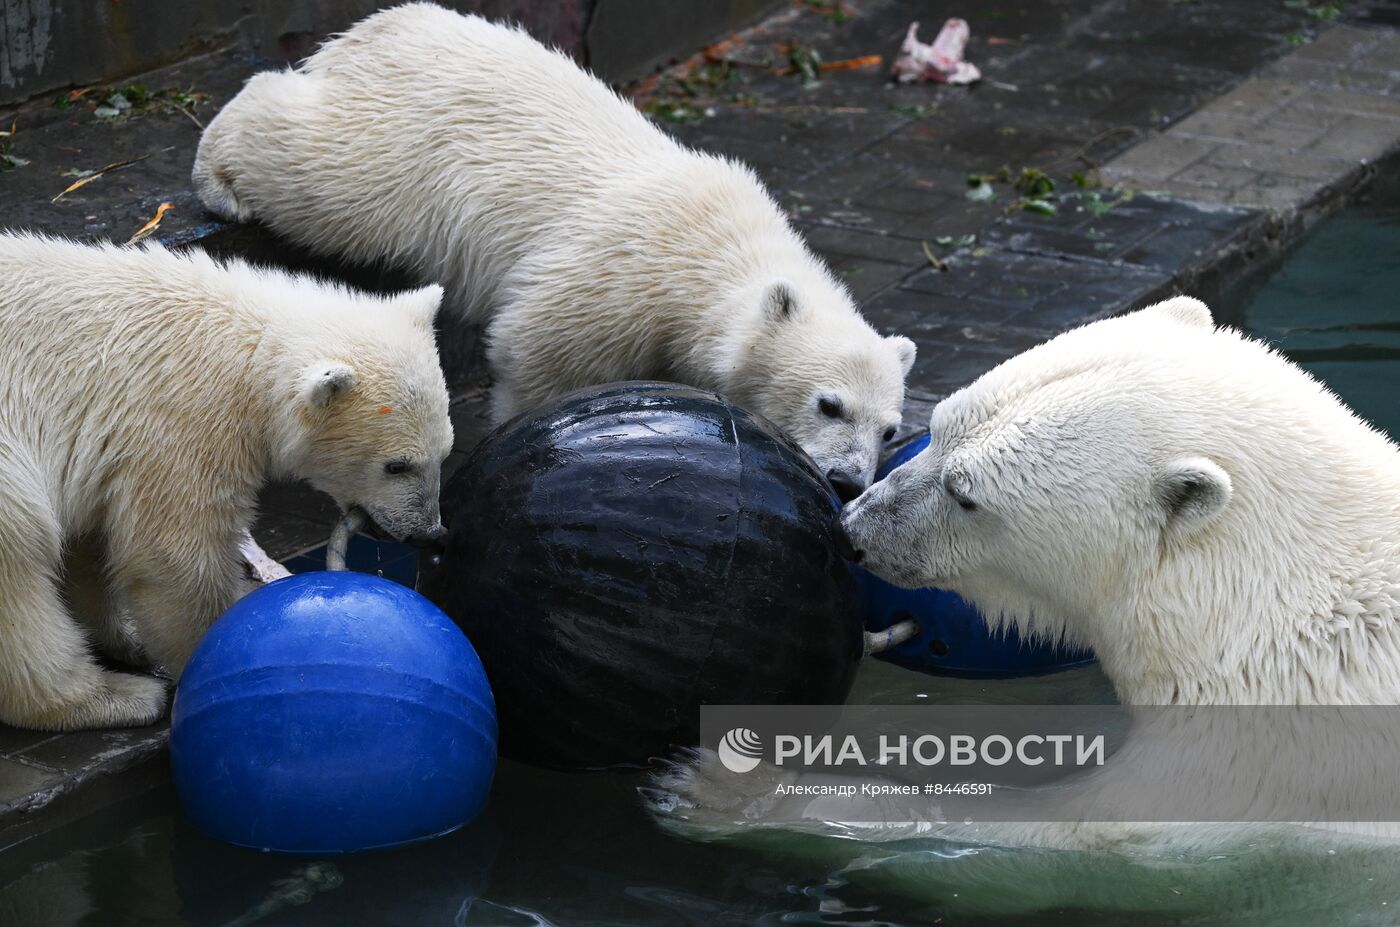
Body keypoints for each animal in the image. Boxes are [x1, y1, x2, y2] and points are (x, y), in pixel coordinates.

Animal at [0, 233, 453, 733]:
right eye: (397, 466)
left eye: (444, 454)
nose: (428, 532)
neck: (251, 346)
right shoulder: (181, 423)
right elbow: (175, 556)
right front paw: (207, 652)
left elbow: (96, 537)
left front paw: (128, 636)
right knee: (21, 550)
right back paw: (108, 698)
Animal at [194, 1, 918, 501]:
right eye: (829, 404)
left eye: (889, 430)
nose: (848, 479)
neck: (719, 255)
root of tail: (378, 29)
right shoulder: (622, 279)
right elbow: (539, 351)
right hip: (399, 149)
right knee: (323, 172)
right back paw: (218, 178)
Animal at [649, 299, 1400, 856]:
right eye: (935, 429)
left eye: (965, 494)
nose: (853, 528)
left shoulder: (1269, 751)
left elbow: (1065, 824)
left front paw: (729, 788)